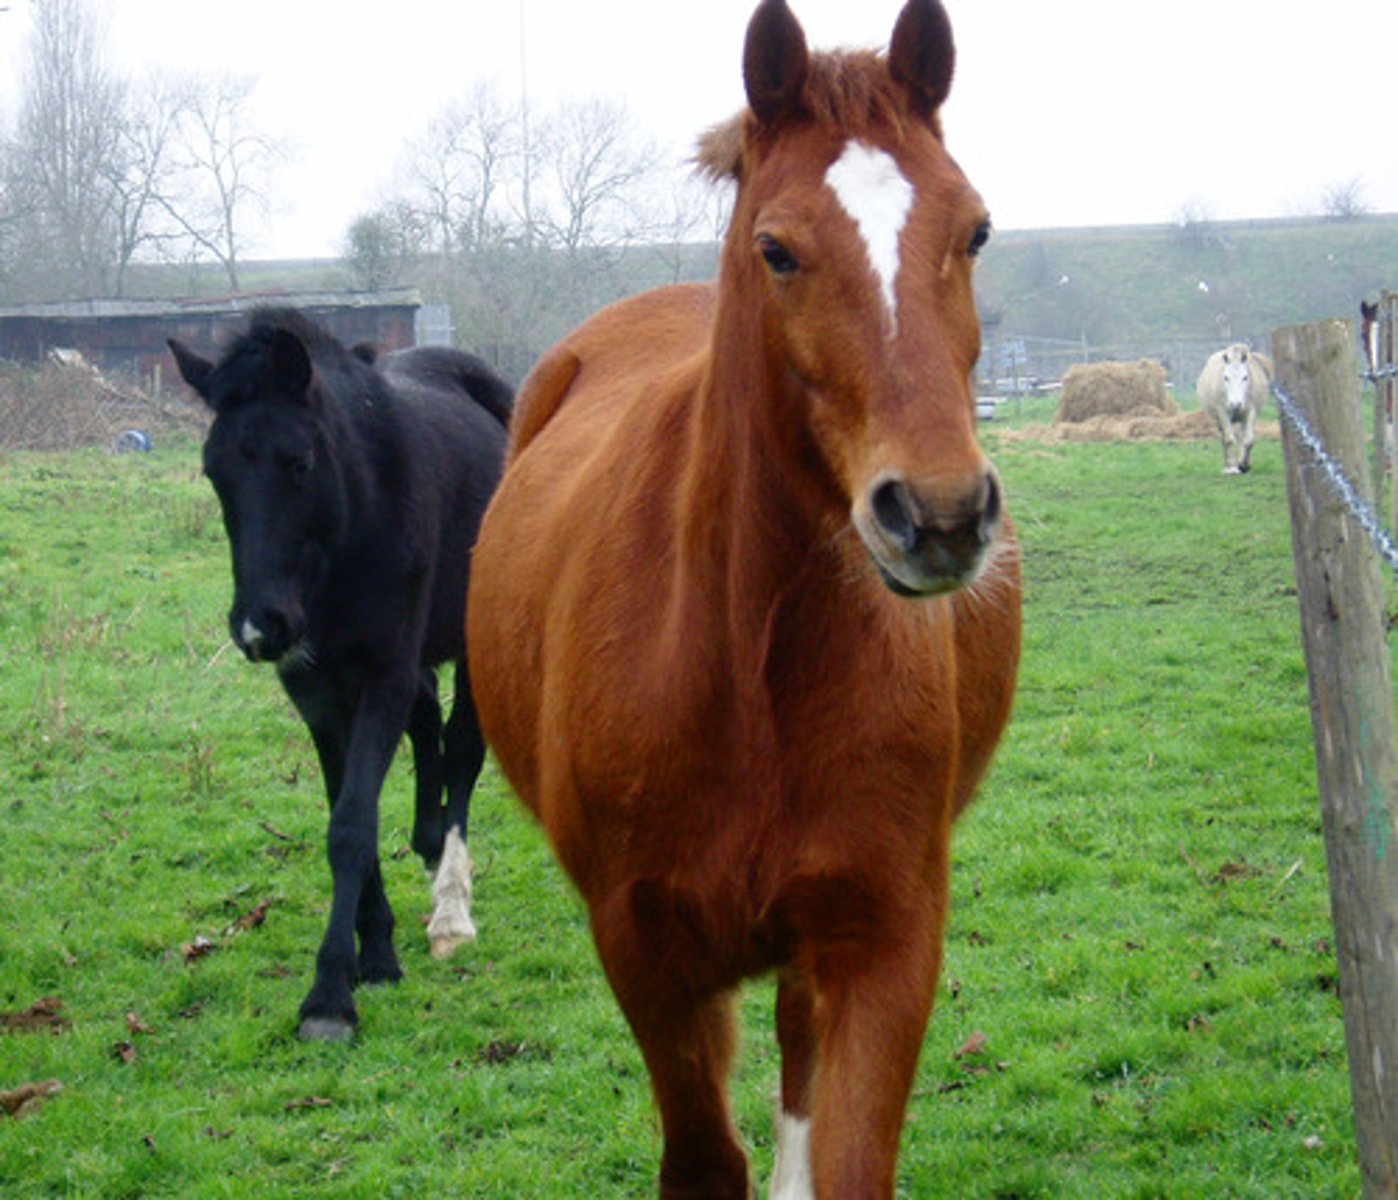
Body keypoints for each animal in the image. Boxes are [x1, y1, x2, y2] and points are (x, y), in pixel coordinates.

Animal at [168, 308, 511, 1041]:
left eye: (297, 462)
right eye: (214, 472)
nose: (259, 626)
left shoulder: (380, 674)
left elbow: (352, 826)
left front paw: (329, 996)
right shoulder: (317, 691)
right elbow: (349, 814)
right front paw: (374, 953)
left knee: (462, 748)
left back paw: (451, 907)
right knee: (428, 724)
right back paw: (428, 847)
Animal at [465, 1, 1021, 1194]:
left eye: (976, 232)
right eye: (777, 249)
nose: (941, 513)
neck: (748, 670)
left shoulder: (884, 938)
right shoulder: (646, 949)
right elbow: (703, 1159)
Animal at [1197, 342, 1272, 474]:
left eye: (1245, 377)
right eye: (1226, 377)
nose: (1235, 404)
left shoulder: (1251, 412)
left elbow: (1248, 440)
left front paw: (1244, 465)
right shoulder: (1223, 412)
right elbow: (1229, 440)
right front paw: (1232, 467)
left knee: (1242, 437)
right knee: (1224, 438)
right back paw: (1228, 464)